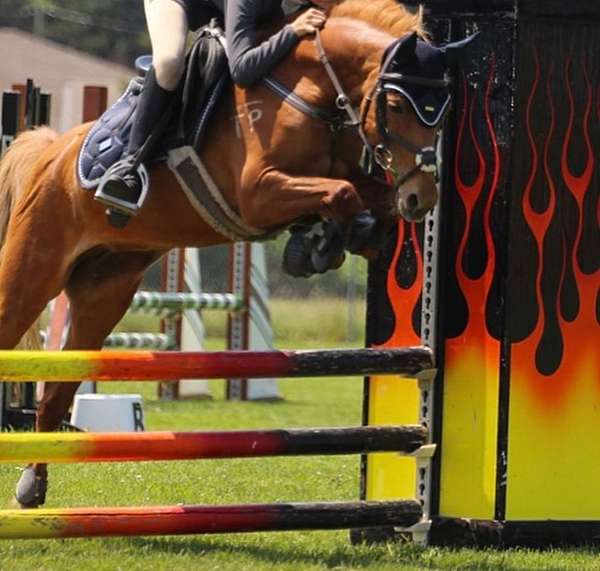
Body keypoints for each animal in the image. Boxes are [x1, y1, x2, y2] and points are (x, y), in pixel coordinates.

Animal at [2, 0, 446, 510]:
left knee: (57, 392)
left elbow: (367, 200)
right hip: (31, 274)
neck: (313, 90)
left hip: (103, 291)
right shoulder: (258, 194)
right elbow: (342, 193)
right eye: (395, 105)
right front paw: (319, 244)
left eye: (440, 113)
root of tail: (47, 154)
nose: (422, 197)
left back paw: (31, 487)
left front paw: (328, 242)